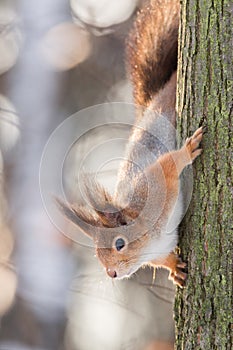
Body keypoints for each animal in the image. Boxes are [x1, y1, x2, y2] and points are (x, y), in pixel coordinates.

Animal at [57, 0, 204, 288]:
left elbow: (168, 165)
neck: (151, 239)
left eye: (120, 244)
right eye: (96, 252)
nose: (111, 273)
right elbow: (161, 260)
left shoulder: (155, 189)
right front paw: (173, 268)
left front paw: (186, 151)